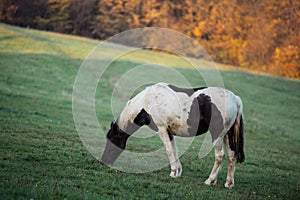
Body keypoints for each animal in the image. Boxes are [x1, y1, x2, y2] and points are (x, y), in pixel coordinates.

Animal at [102, 82, 245, 188]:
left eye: (112, 140)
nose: (104, 161)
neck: (147, 102)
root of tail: (235, 98)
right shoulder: (169, 132)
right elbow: (174, 150)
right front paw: (177, 172)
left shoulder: (162, 130)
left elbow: (169, 150)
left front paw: (173, 172)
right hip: (227, 135)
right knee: (231, 155)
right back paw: (228, 183)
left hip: (217, 135)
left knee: (219, 155)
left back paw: (210, 180)